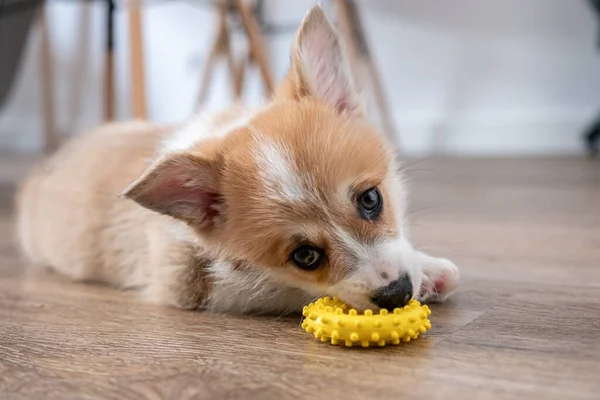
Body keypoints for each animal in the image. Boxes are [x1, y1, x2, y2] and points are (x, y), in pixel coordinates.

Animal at [17, 4, 460, 314]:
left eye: (371, 199)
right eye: (305, 257)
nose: (397, 293)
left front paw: (428, 269)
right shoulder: (198, 284)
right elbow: (283, 290)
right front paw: (429, 276)